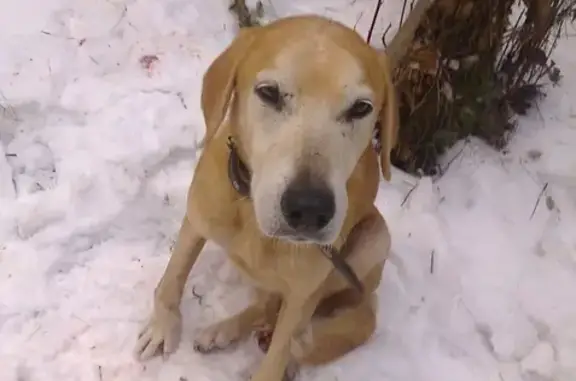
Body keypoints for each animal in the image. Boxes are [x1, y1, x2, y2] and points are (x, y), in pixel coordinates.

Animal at [136, 3, 432, 380]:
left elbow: (276, 357)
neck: (250, 217)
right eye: (269, 93)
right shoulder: (197, 218)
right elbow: (173, 277)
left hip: (374, 239)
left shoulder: (304, 295)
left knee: (279, 313)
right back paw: (224, 331)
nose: (309, 209)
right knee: (266, 303)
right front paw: (162, 328)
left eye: (361, 108)